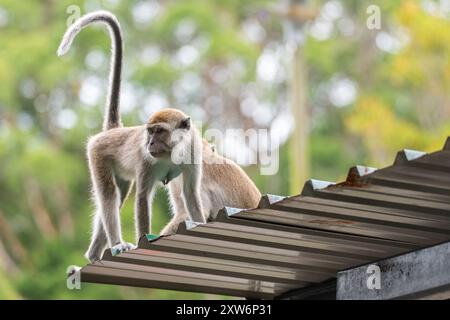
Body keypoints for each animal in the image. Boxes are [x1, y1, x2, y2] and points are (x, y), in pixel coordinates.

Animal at [57, 10, 260, 262]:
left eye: (160, 131)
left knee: (118, 194)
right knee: (109, 195)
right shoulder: (151, 162)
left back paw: (96, 253)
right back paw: (112, 246)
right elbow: (146, 198)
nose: (150, 143)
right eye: (151, 132)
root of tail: (114, 131)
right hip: (97, 151)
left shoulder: (192, 160)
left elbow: (192, 200)